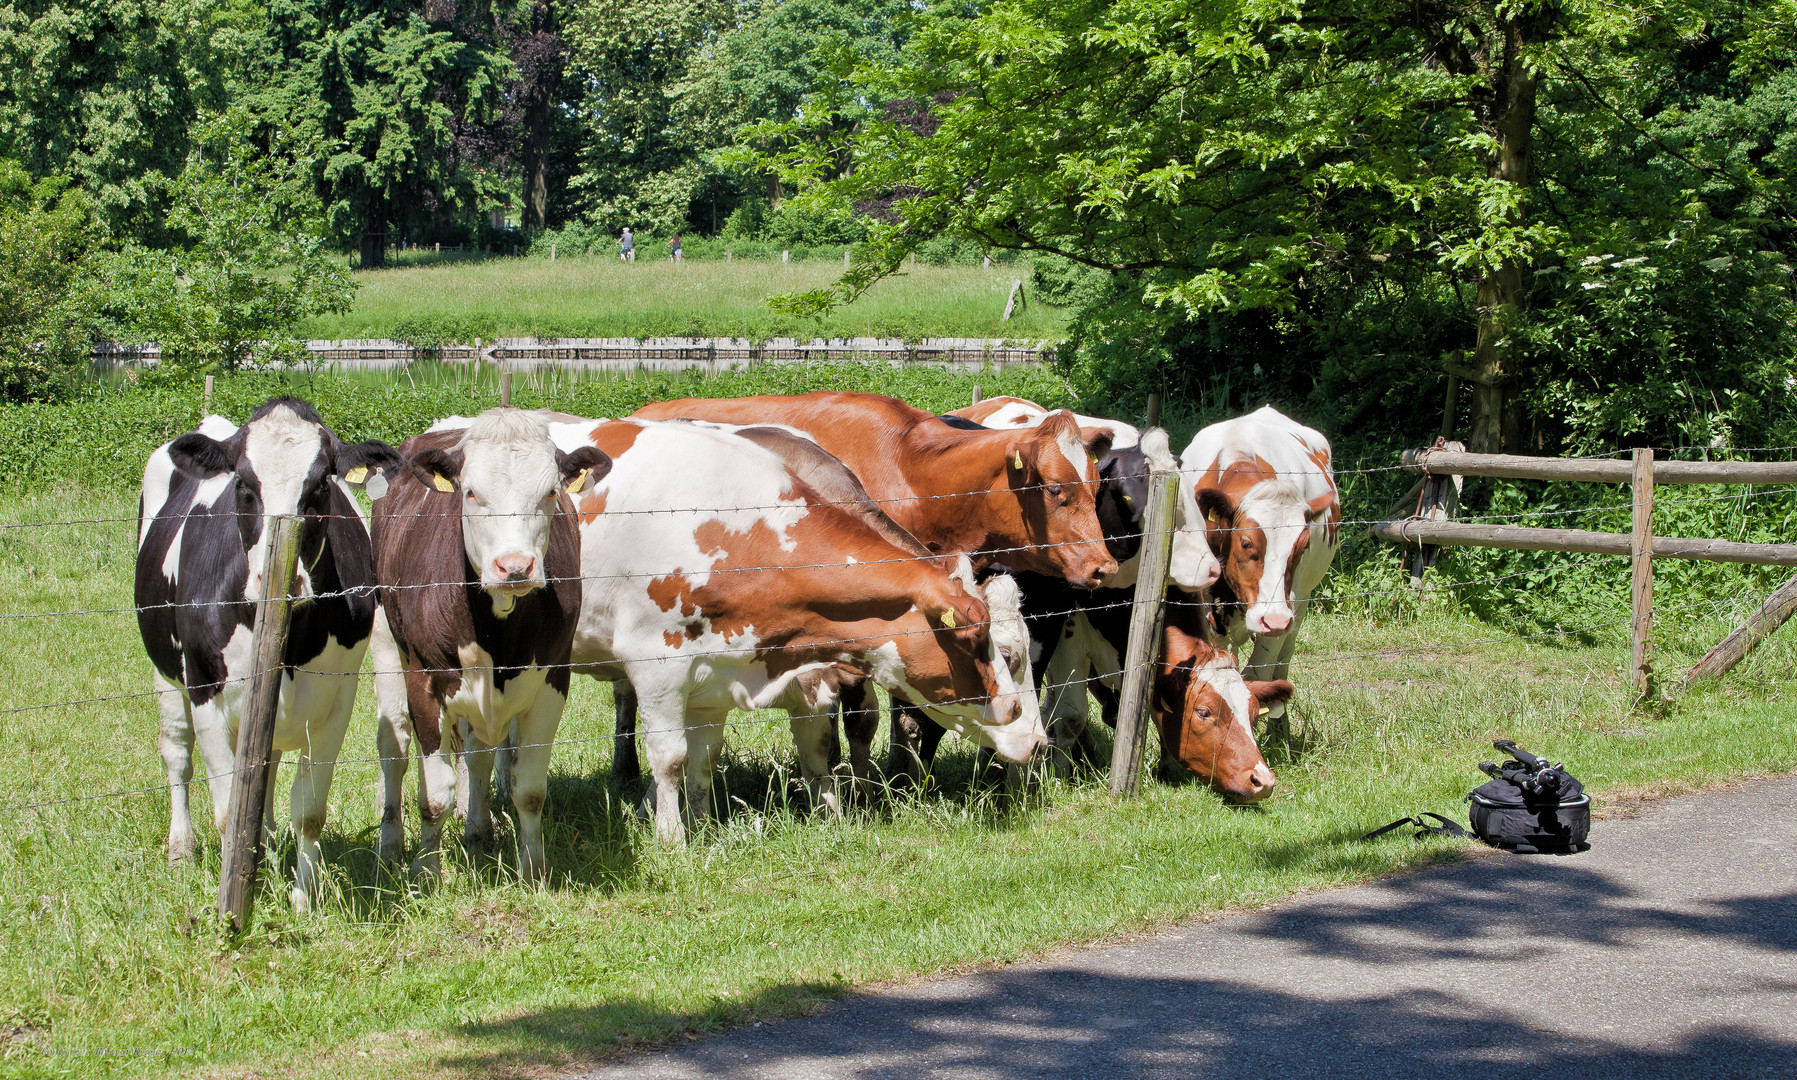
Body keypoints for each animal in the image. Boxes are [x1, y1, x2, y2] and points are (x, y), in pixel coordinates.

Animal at [135, 395, 400, 909]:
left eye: (321, 485)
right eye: (242, 484)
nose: (282, 581)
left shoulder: (337, 699)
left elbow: (309, 809)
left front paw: (303, 898)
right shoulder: (206, 690)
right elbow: (227, 813)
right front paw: (233, 892)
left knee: (267, 763)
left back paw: (267, 846)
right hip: (166, 672)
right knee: (176, 753)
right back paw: (182, 849)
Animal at [371, 407, 610, 880]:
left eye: (551, 491)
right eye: (470, 492)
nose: (514, 566)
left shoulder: (552, 681)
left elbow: (529, 788)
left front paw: (533, 870)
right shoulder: (424, 681)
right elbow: (434, 796)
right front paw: (426, 873)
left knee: (477, 754)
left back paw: (478, 831)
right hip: (387, 647)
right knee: (395, 749)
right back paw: (390, 847)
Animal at [1178, 400, 1336, 718]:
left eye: (1302, 546)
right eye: (1246, 542)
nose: (1274, 620)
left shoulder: (1288, 605)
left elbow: (1258, 676)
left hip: (1300, 604)